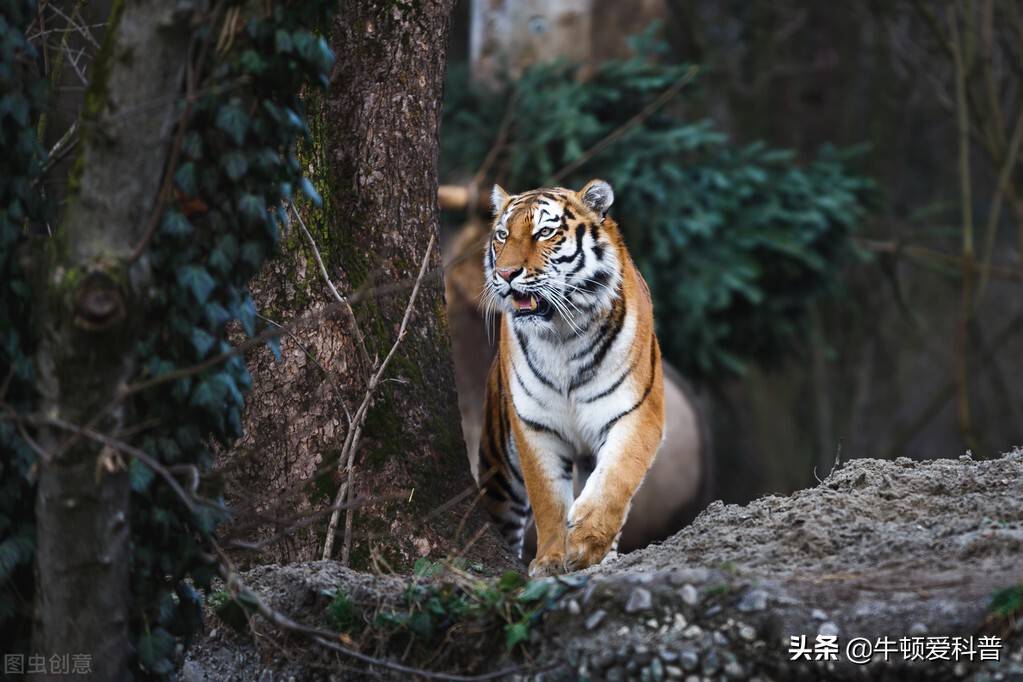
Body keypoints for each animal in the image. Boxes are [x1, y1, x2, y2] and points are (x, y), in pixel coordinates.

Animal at [476, 179, 666, 576]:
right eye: (502, 235)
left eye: (544, 232)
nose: (506, 274)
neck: (563, 335)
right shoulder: (536, 425)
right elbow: (548, 498)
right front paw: (551, 559)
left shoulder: (637, 413)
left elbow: (615, 479)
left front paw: (585, 543)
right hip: (498, 468)